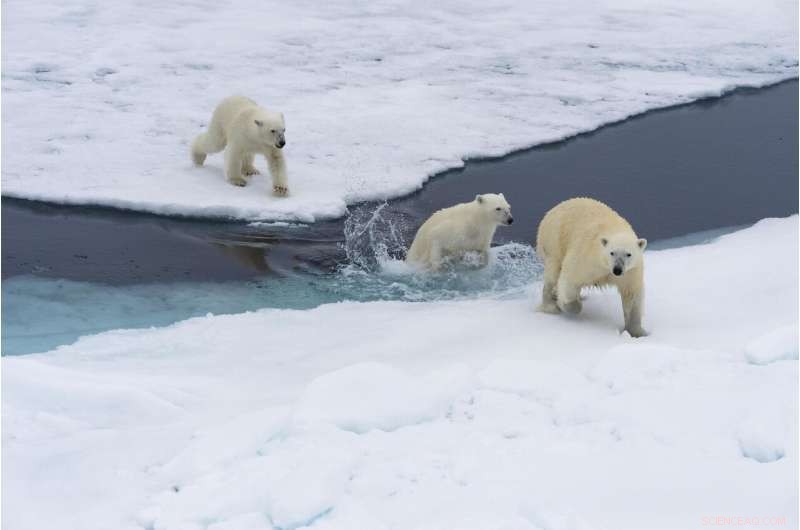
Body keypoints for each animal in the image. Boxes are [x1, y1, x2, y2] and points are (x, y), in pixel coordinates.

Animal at [535, 197, 647, 337]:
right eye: (612, 252)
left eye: (628, 254)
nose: (617, 270)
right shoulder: (587, 257)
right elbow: (570, 279)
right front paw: (572, 306)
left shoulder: (630, 271)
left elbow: (631, 295)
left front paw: (637, 333)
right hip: (554, 241)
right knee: (552, 274)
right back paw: (550, 306)